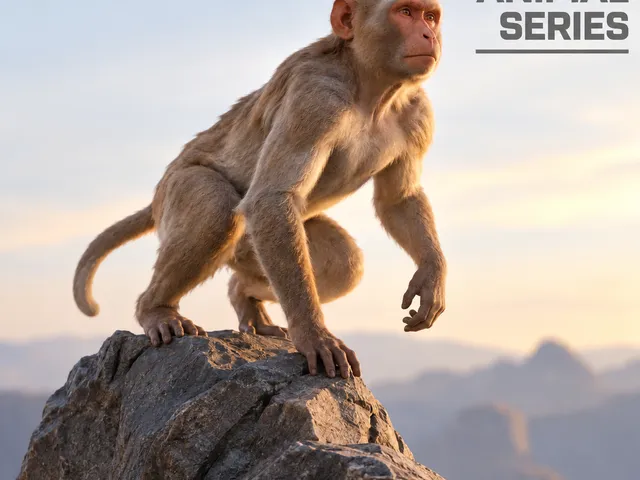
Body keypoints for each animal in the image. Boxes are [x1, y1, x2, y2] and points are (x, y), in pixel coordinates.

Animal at [73, 0, 447, 380]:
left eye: (429, 16)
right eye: (405, 12)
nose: (428, 35)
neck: (371, 89)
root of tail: (156, 198)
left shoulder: (419, 113)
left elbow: (398, 199)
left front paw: (431, 273)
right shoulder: (315, 100)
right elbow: (271, 198)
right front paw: (313, 334)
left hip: (254, 245)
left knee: (344, 263)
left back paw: (242, 294)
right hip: (178, 190)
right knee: (217, 211)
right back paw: (155, 308)